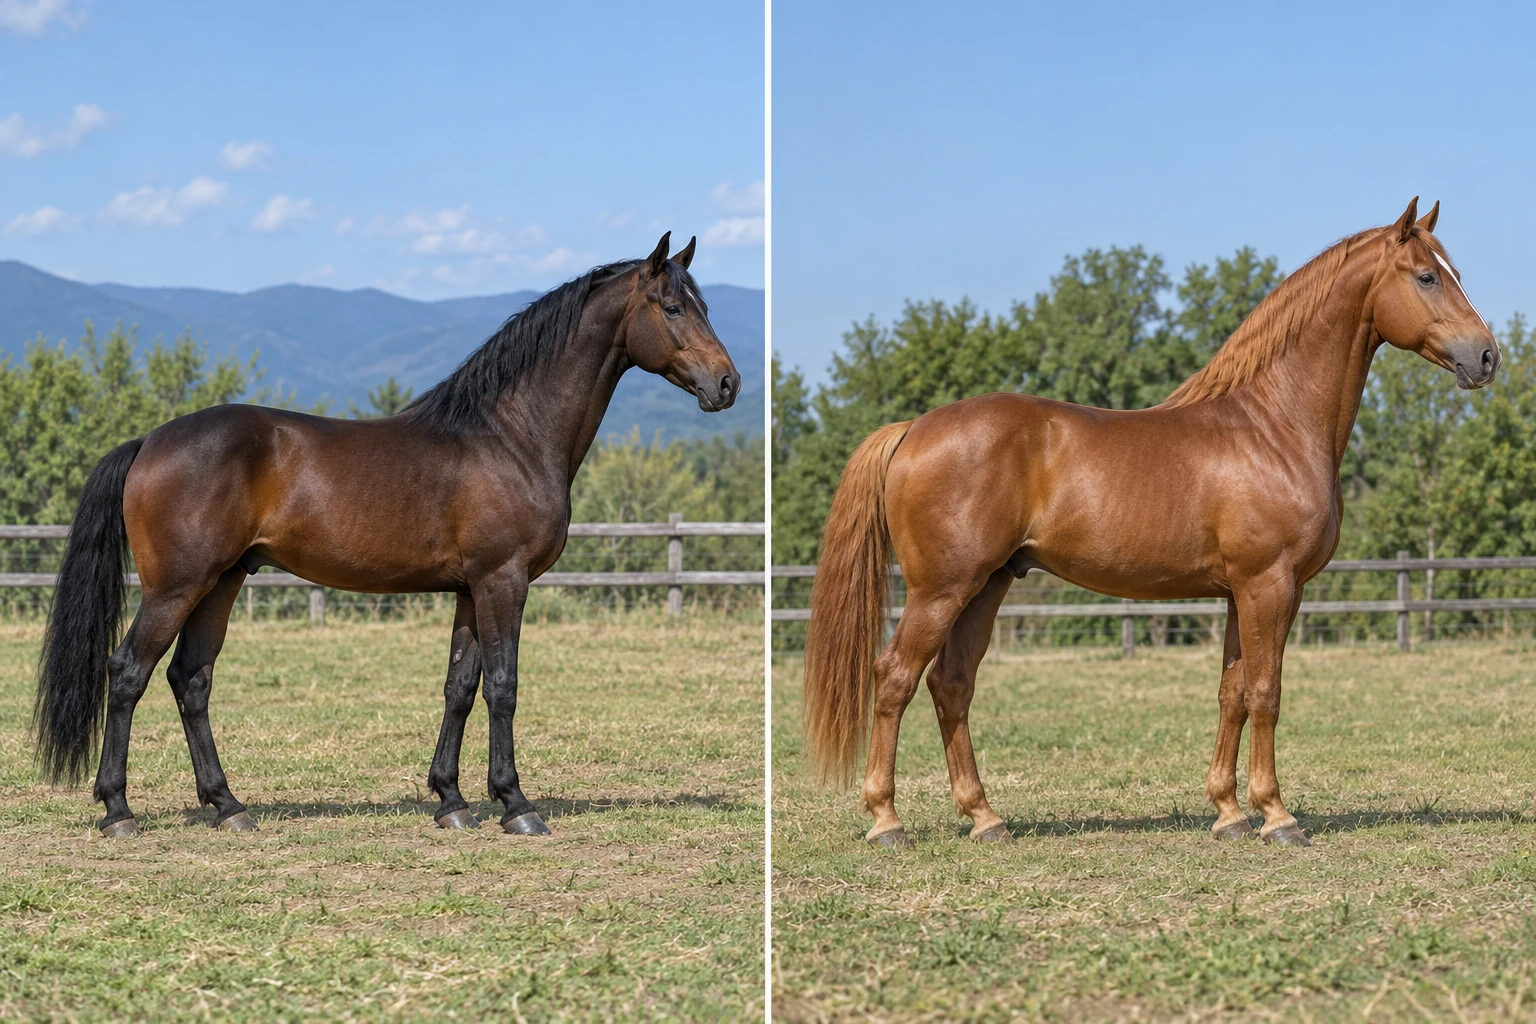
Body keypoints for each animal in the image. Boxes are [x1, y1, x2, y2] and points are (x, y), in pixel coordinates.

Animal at [34, 232, 740, 838]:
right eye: (674, 306)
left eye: (706, 305)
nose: (728, 383)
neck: (509, 435)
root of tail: (150, 442)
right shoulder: (503, 581)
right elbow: (504, 687)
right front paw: (515, 804)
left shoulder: (470, 590)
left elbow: (460, 688)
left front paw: (452, 801)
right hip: (177, 587)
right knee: (129, 672)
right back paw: (118, 810)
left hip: (221, 583)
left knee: (191, 681)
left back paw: (229, 806)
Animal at [802, 198, 1499, 849]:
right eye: (1426, 277)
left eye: (1455, 273)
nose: (1488, 357)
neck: (1273, 425)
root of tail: (913, 429)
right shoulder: (1270, 585)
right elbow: (1266, 692)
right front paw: (1277, 816)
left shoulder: (1240, 593)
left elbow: (1232, 692)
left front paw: (1228, 813)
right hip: (941, 590)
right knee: (895, 678)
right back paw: (887, 821)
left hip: (986, 586)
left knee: (951, 686)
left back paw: (985, 818)